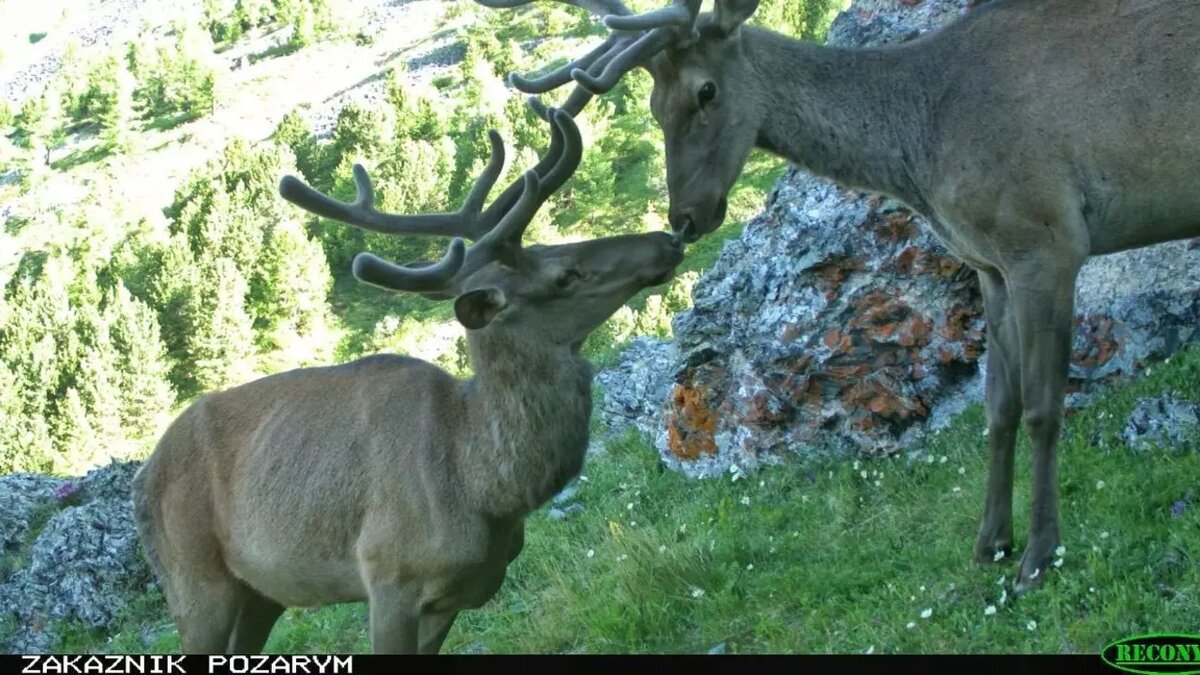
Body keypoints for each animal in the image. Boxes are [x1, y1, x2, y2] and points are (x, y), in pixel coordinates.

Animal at [129, 109, 686, 653]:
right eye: (565, 275)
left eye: (555, 245)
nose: (668, 239)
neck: (483, 488)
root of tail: (143, 476)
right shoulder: (389, 574)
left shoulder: (453, 598)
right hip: (192, 578)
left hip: (260, 593)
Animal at [475, 0, 1200, 588]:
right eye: (654, 106)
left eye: (706, 90)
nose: (684, 218)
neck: (920, 148)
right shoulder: (988, 265)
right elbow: (1000, 408)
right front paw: (989, 543)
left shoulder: (1046, 240)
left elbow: (1047, 408)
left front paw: (1038, 557)